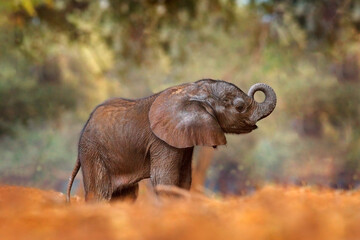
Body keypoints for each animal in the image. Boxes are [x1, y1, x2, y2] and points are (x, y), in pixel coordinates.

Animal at [66, 79, 278, 202]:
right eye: (239, 107)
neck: (190, 90)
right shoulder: (161, 141)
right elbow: (164, 180)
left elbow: (184, 180)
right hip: (93, 152)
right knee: (99, 194)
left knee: (126, 195)